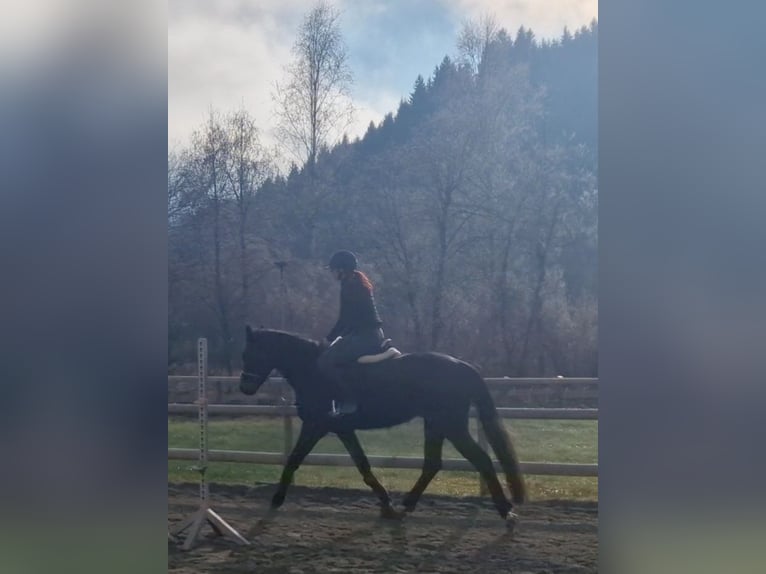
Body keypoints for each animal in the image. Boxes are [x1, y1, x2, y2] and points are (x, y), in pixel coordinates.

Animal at [239, 325, 526, 526]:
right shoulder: (342, 429)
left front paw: (276, 500)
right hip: (435, 424)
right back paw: (406, 506)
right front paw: (386, 505)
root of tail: (463, 366)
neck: (311, 370)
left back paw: (506, 513)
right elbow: (363, 465)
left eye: (251, 354)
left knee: (481, 460)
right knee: (433, 464)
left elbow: (294, 459)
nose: (245, 388)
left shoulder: (316, 425)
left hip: (451, 425)